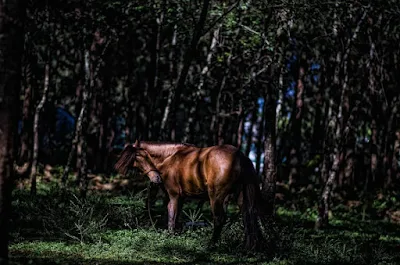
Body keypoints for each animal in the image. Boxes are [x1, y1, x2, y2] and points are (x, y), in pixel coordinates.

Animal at [115, 139, 266, 249]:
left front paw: (170, 238)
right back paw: (248, 247)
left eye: (143, 155)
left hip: (216, 197)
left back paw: (211, 245)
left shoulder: (174, 195)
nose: (156, 179)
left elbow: (172, 215)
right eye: (139, 156)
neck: (169, 157)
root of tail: (240, 156)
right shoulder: (180, 198)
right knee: (248, 216)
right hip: (241, 197)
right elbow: (174, 216)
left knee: (220, 219)